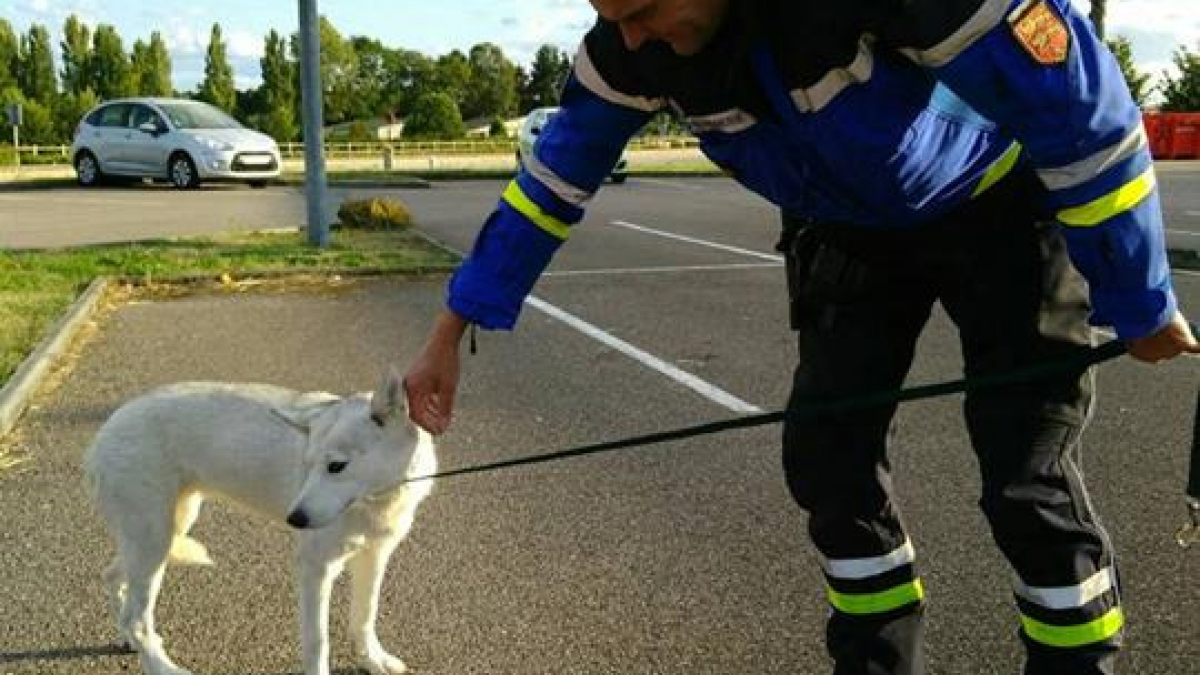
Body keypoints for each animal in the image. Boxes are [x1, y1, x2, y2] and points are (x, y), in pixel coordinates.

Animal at [87, 367, 439, 672]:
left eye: (336, 466)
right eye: (307, 464)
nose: (295, 519)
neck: (376, 500)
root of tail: (102, 433)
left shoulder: (375, 556)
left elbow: (365, 617)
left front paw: (373, 661)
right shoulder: (315, 568)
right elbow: (318, 642)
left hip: (165, 532)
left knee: (112, 579)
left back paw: (128, 639)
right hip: (154, 541)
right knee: (136, 618)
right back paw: (162, 666)